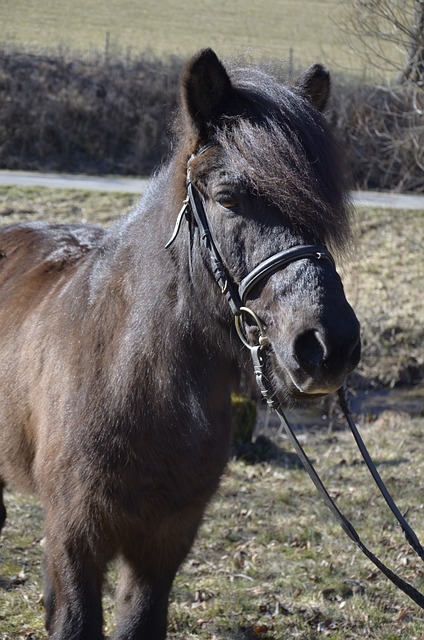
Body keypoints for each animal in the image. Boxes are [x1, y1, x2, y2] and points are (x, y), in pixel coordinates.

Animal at [0, 50, 362, 640]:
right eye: (228, 197)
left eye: (323, 209)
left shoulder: (165, 542)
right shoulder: (75, 537)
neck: (130, 377)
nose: (329, 347)